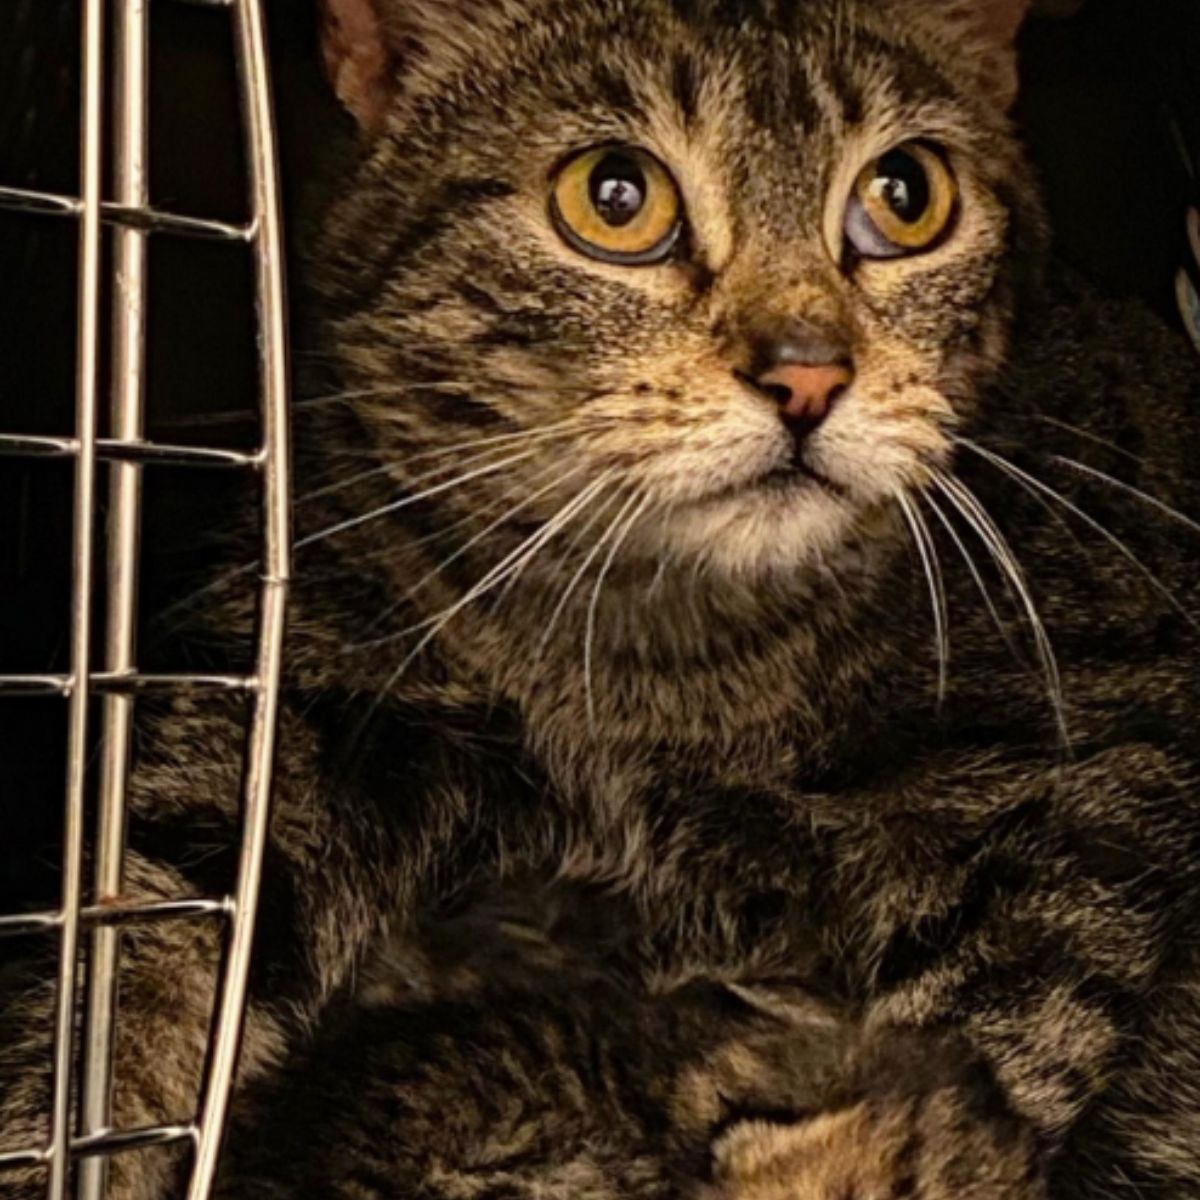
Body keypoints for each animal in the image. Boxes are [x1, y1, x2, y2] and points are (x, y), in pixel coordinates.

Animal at [2, 0, 1200, 1195]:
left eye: (908, 194)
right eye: (614, 197)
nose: (809, 375)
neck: (658, 665)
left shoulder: (1087, 791)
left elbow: (995, 1062)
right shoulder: (304, 707)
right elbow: (137, 939)